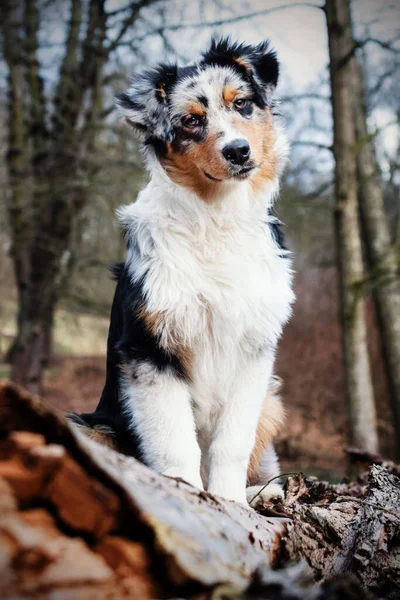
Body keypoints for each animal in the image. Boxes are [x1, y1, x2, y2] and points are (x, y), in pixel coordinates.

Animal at [69, 36, 294, 506]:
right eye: (191, 120)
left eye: (242, 104)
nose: (238, 151)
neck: (216, 218)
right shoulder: (150, 349)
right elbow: (174, 440)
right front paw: (186, 492)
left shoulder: (254, 352)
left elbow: (232, 442)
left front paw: (229, 500)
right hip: (91, 423)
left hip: (271, 400)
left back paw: (262, 493)